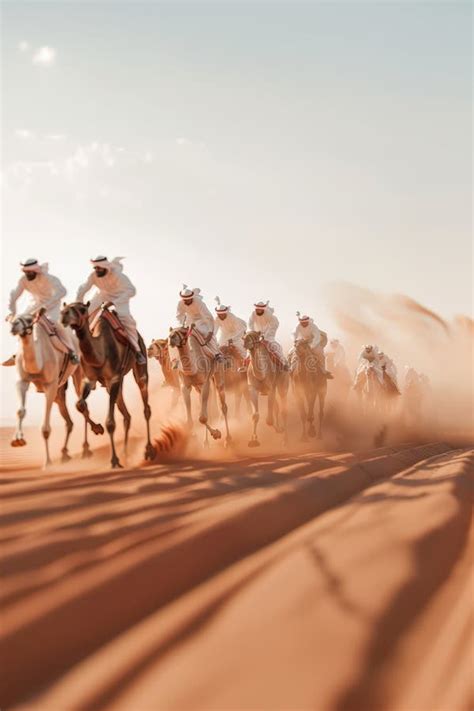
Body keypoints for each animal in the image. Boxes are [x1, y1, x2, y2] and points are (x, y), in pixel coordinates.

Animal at [8, 312, 92, 468]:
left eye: (29, 320)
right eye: (13, 318)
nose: (13, 326)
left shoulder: (51, 385)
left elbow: (45, 429)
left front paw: (47, 462)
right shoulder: (22, 381)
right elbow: (20, 411)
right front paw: (17, 439)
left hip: (77, 370)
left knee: (82, 405)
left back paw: (86, 449)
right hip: (60, 390)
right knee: (69, 418)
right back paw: (65, 454)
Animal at [60, 300, 157, 468]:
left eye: (82, 309)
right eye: (66, 307)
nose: (64, 314)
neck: (101, 352)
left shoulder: (114, 379)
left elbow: (110, 422)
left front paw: (114, 460)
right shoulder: (90, 379)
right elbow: (80, 404)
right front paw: (97, 429)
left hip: (140, 365)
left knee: (146, 406)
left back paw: (148, 451)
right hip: (114, 383)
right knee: (126, 415)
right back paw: (125, 453)